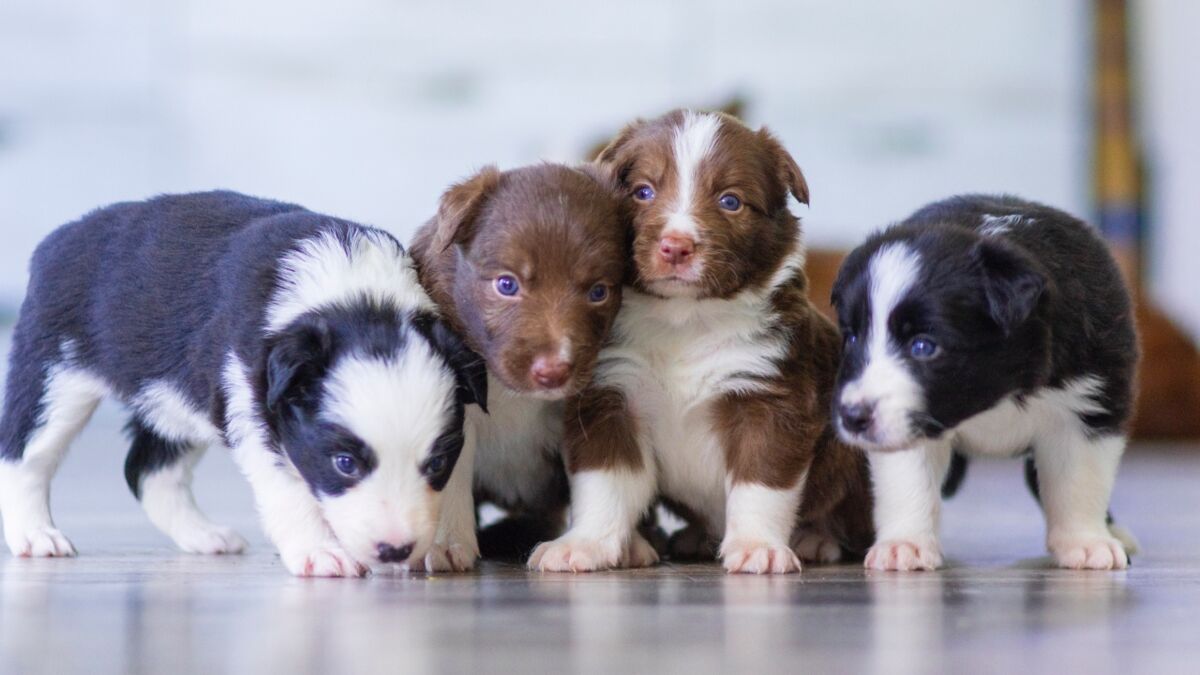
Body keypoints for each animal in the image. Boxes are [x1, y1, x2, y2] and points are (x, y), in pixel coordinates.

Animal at [2, 192, 487, 576]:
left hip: (173, 401)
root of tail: (61, 237)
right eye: (345, 464)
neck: (356, 301)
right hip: (54, 373)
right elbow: (288, 490)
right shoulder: (252, 403)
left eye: (436, 464)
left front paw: (445, 543)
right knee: (25, 454)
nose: (396, 550)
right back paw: (35, 534)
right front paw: (319, 552)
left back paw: (203, 535)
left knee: (148, 470)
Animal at [530, 110, 868, 571]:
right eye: (643, 191)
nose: (676, 246)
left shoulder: (770, 397)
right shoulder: (610, 397)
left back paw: (817, 539)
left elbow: (760, 485)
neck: (684, 321)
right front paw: (583, 544)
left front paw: (757, 547)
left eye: (730, 201)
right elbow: (604, 482)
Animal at [830, 193, 1137, 566]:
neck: (999, 394)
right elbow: (909, 482)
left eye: (923, 346)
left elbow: (1078, 480)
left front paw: (1087, 542)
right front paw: (905, 545)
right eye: (852, 338)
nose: (852, 417)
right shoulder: (912, 423)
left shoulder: (1090, 403)